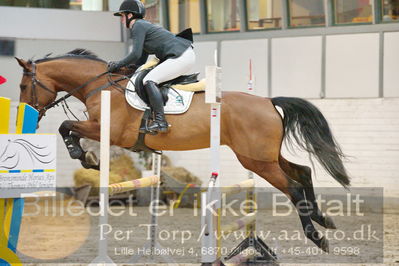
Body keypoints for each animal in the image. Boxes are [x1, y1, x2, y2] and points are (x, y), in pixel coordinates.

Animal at [14, 49, 350, 251]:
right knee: (302, 172)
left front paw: (84, 156)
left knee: (292, 186)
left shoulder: (109, 132)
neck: (102, 86)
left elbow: (66, 127)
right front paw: (87, 158)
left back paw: (317, 237)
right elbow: (67, 128)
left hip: (256, 160)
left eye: (22, 86)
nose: (29, 116)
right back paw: (323, 218)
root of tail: (268, 101)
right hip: (264, 156)